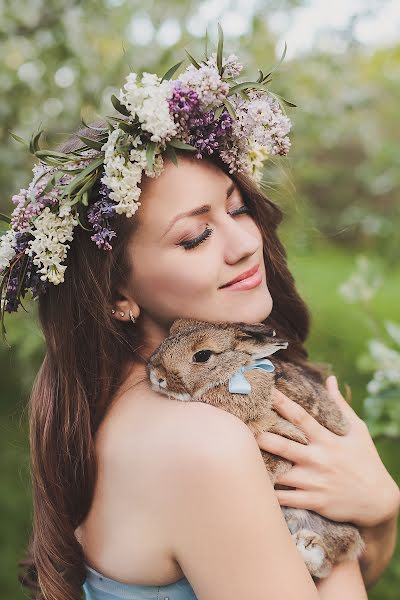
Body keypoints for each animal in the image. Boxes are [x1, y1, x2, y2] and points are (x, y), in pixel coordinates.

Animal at [148, 316, 366, 580]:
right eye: (172, 331)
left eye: (202, 355)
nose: (156, 375)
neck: (232, 375)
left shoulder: (284, 433)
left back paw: (306, 549)